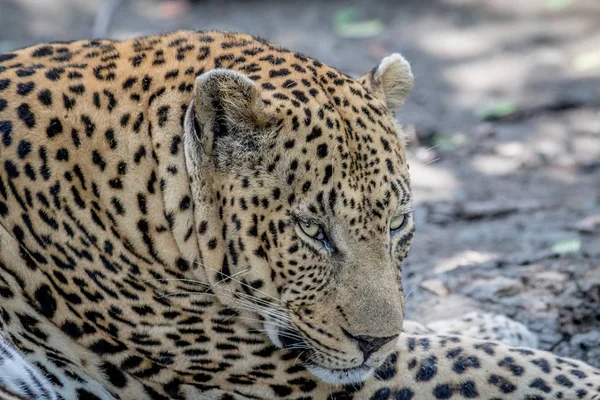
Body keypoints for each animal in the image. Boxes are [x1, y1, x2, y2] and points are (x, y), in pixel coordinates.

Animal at [0, 29, 596, 398]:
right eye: (311, 230)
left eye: (397, 223)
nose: (373, 342)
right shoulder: (284, 371)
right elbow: (489, 364)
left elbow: (441, 336)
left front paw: (494, 322)